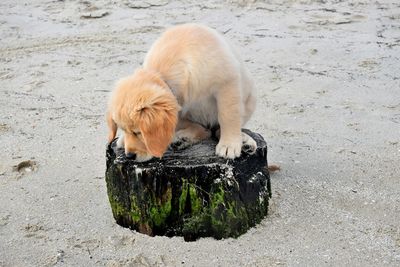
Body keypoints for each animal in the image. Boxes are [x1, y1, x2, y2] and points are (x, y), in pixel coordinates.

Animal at [106, 23, 256, 161]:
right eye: (124, 129)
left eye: (139, 132)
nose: (129, 156)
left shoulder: (227, 83)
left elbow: (228, 116)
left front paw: (229, 144)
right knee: (205, 131)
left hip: (250, 100)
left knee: (218, 128)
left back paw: (244, 141)